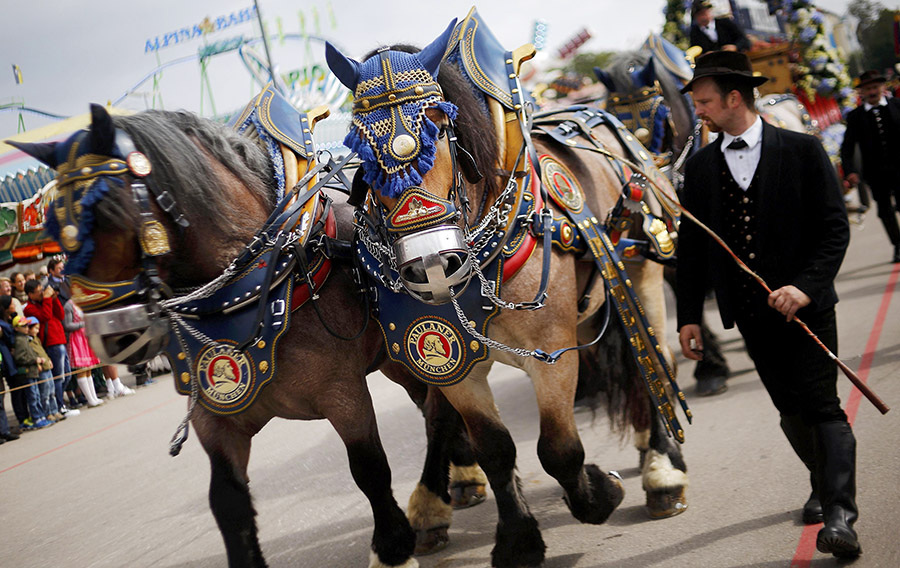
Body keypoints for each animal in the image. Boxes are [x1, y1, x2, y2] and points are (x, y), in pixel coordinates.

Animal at [10, 106, 482, 568]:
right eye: (53, 227)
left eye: (109, 210)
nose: (113, 337)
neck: (261, 285)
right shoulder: (214, 414)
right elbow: (227, 502)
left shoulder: (343, 393)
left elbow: (369, 469)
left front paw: (392, 548)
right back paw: (462, 476)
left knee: (437, 412)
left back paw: (433, 503)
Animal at [326, 17, 692, 568]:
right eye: (363, 153)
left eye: (440, 130)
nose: (432, 262)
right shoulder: (451, 364)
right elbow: (496, 450)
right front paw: (519, 539)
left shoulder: (552, 351)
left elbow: (559, 449)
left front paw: (599, 494)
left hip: (642, 268)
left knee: (656, 360)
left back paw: (663, 469)